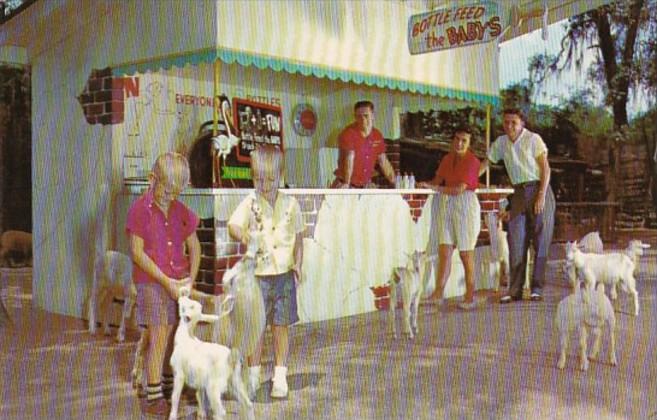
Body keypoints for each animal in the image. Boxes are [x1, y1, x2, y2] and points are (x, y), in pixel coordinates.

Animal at [168, 286, 252, 420]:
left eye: (188, 306)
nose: (183, 292)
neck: (185, 336)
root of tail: (231, 357)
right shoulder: (200, 379)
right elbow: (200, 396)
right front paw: (201, 413)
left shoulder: (178, 373)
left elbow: (175, 397)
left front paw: (172, 415)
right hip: (235, 381)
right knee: (248, 404)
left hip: (214, 386)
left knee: (220, 412)